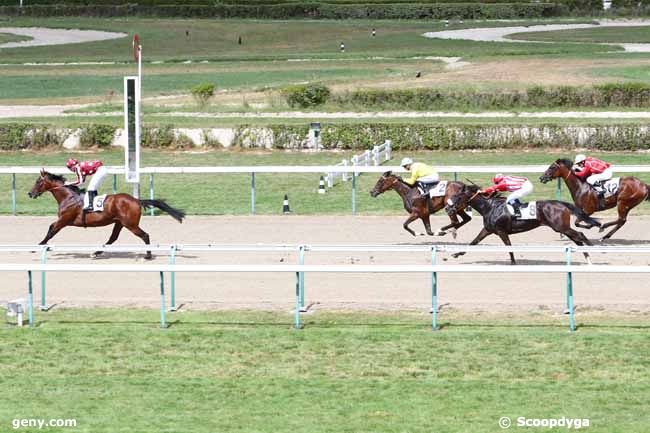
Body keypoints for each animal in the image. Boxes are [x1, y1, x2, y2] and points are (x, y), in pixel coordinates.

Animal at [27, 170, 184, 258]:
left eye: (38, 181)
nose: (30, 193)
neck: (69, 197)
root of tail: (136, 200)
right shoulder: (63, 220)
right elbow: (50, 228)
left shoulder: (64, 220)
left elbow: (51, 231)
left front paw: (36, 247)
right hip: (120, 223)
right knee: (113, 238)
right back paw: (96, 252)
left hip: (130, 224)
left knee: (145, 235)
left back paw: (148, 255)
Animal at [446, 183, 596, 264]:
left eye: (458, 196)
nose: (447, 208)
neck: (489, 207)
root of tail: (561, 203)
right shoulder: (488, 230)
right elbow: (474, 242)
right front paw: (456, 254)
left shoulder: (501, 231)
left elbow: (508, 246)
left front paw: (513, 262)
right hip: (563, 228)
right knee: (577, 239)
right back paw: (587, 257)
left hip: (561, 227)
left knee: (580, 235)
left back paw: (594, 250)